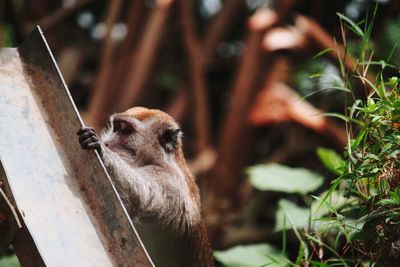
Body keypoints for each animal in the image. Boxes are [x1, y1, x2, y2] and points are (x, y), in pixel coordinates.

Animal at [76, 107, 214, 267]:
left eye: (126, 130)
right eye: (116, 128)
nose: (108, 143)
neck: (160, 160)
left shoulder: (169, 183)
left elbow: (135, 194)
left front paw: (101, 150)